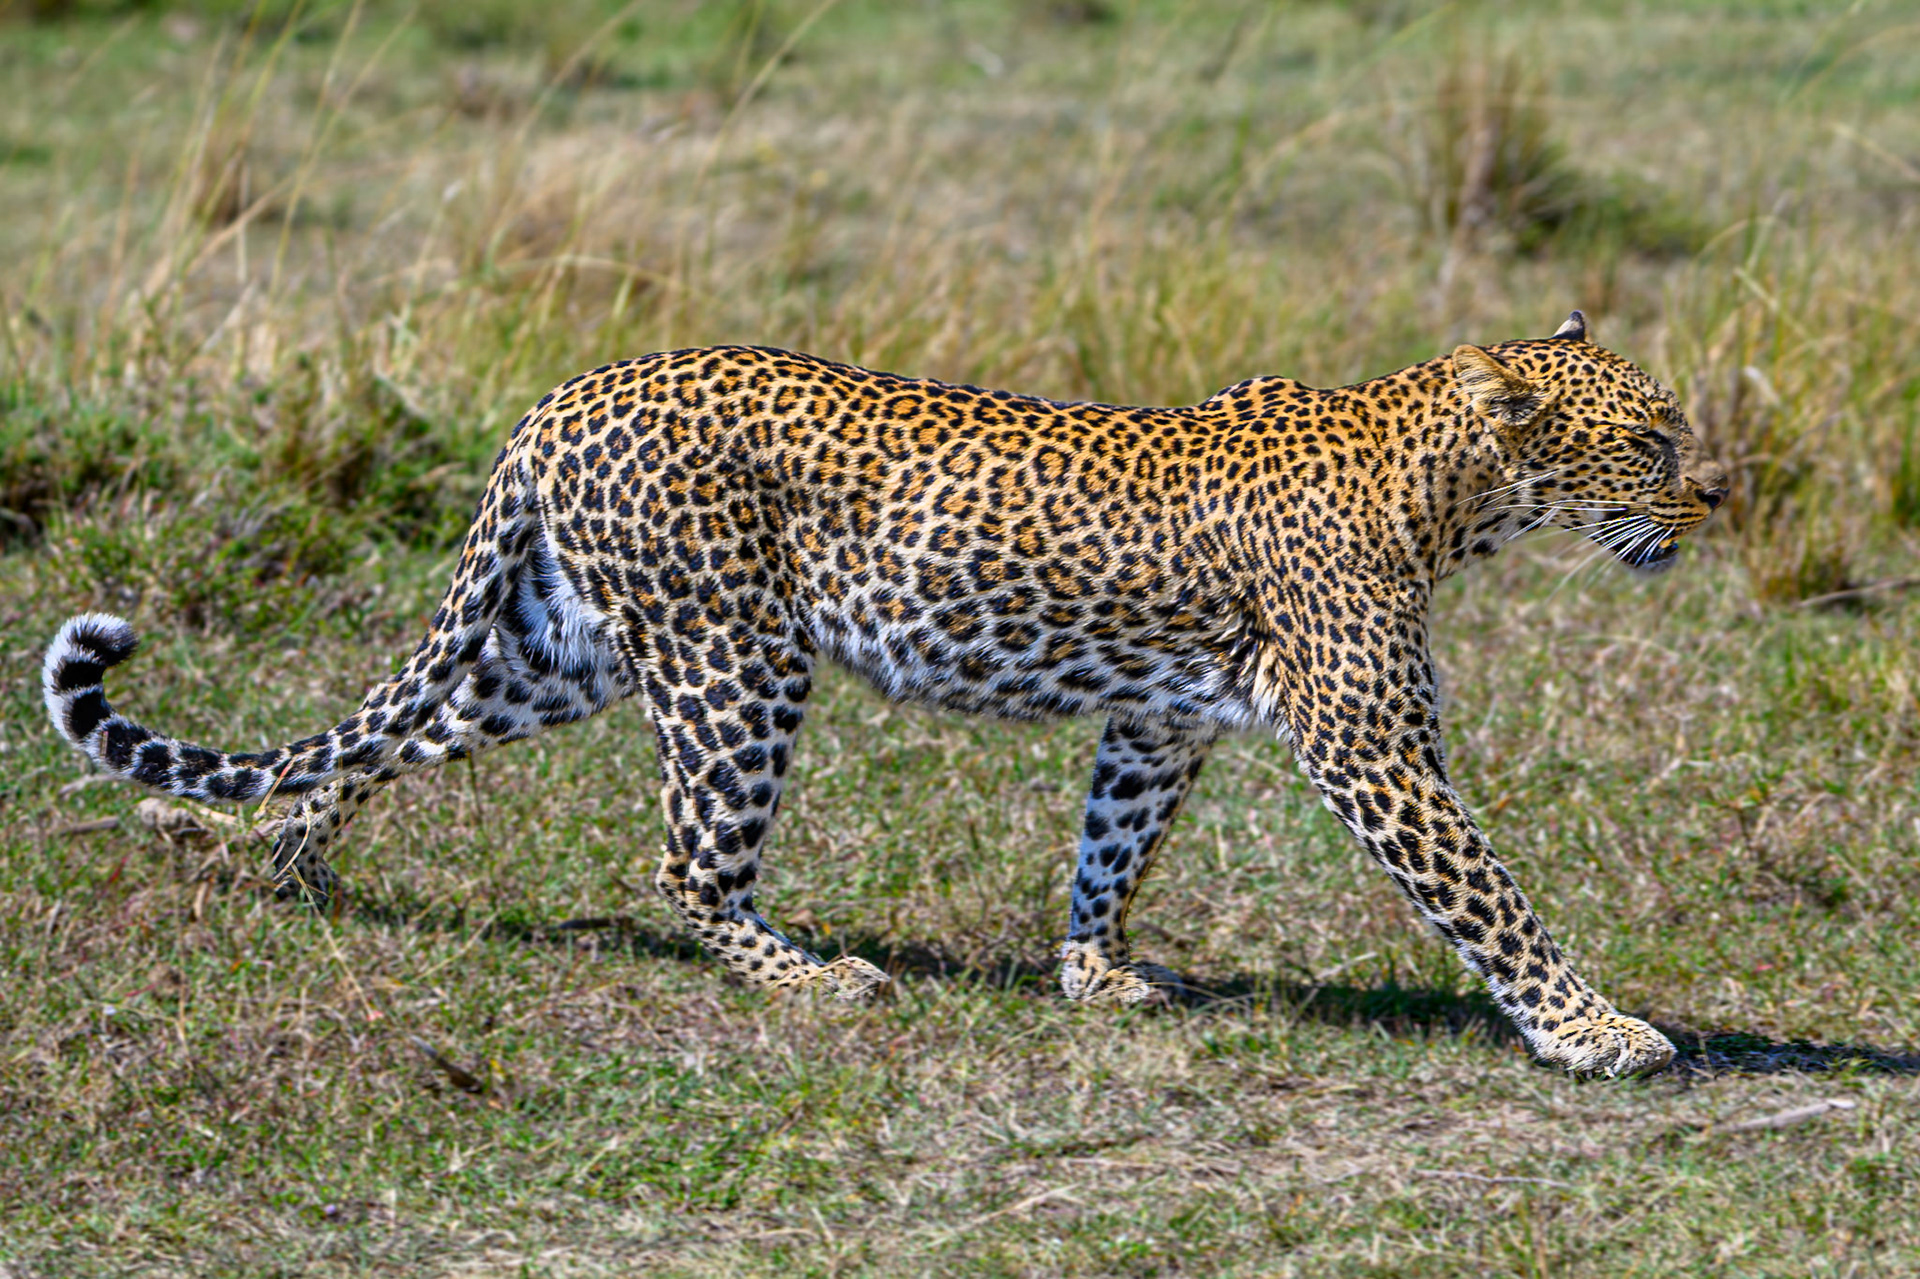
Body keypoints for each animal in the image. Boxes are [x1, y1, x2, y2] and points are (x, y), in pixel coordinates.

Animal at [43, 309, 1726, 1077]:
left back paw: (277, 854)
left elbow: (1112, 845)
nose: (1720, 493)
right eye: (1650, 440)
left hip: (563, 644)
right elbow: (1490, 895)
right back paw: (810, 977)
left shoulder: (1159, 716)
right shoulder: (1377, 745)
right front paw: (1598, 1029)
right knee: (685, 857)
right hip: (734, 656)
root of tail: (561, 397)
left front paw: (1093, 972)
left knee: (393, 732)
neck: (1448, 493)